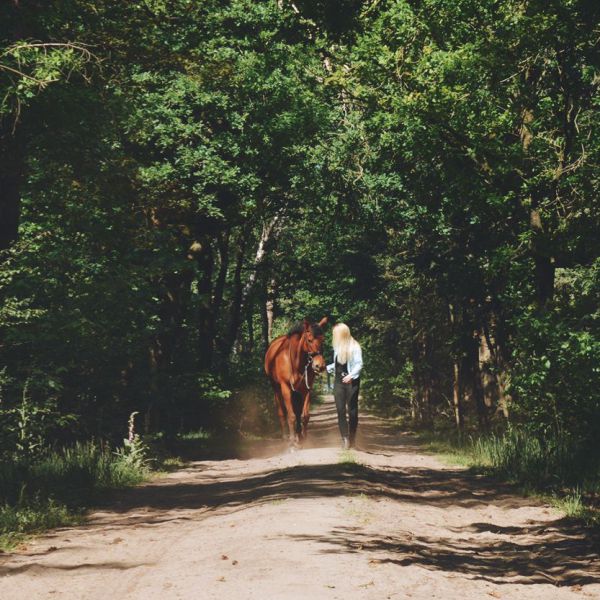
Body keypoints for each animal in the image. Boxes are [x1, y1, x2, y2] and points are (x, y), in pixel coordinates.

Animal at [264, 318, 326, 446]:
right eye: (309, 340)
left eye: (323, 339)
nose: (320, 365)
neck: (296, 362)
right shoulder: (286, 388)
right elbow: (291, 416)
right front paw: (292, 440)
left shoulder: (306, 389)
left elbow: (304, 415)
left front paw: (304, 438)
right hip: (276, 387)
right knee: (282, 412)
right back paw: (286, 437)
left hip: (297, 391)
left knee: (298, 412)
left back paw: (299, 436)